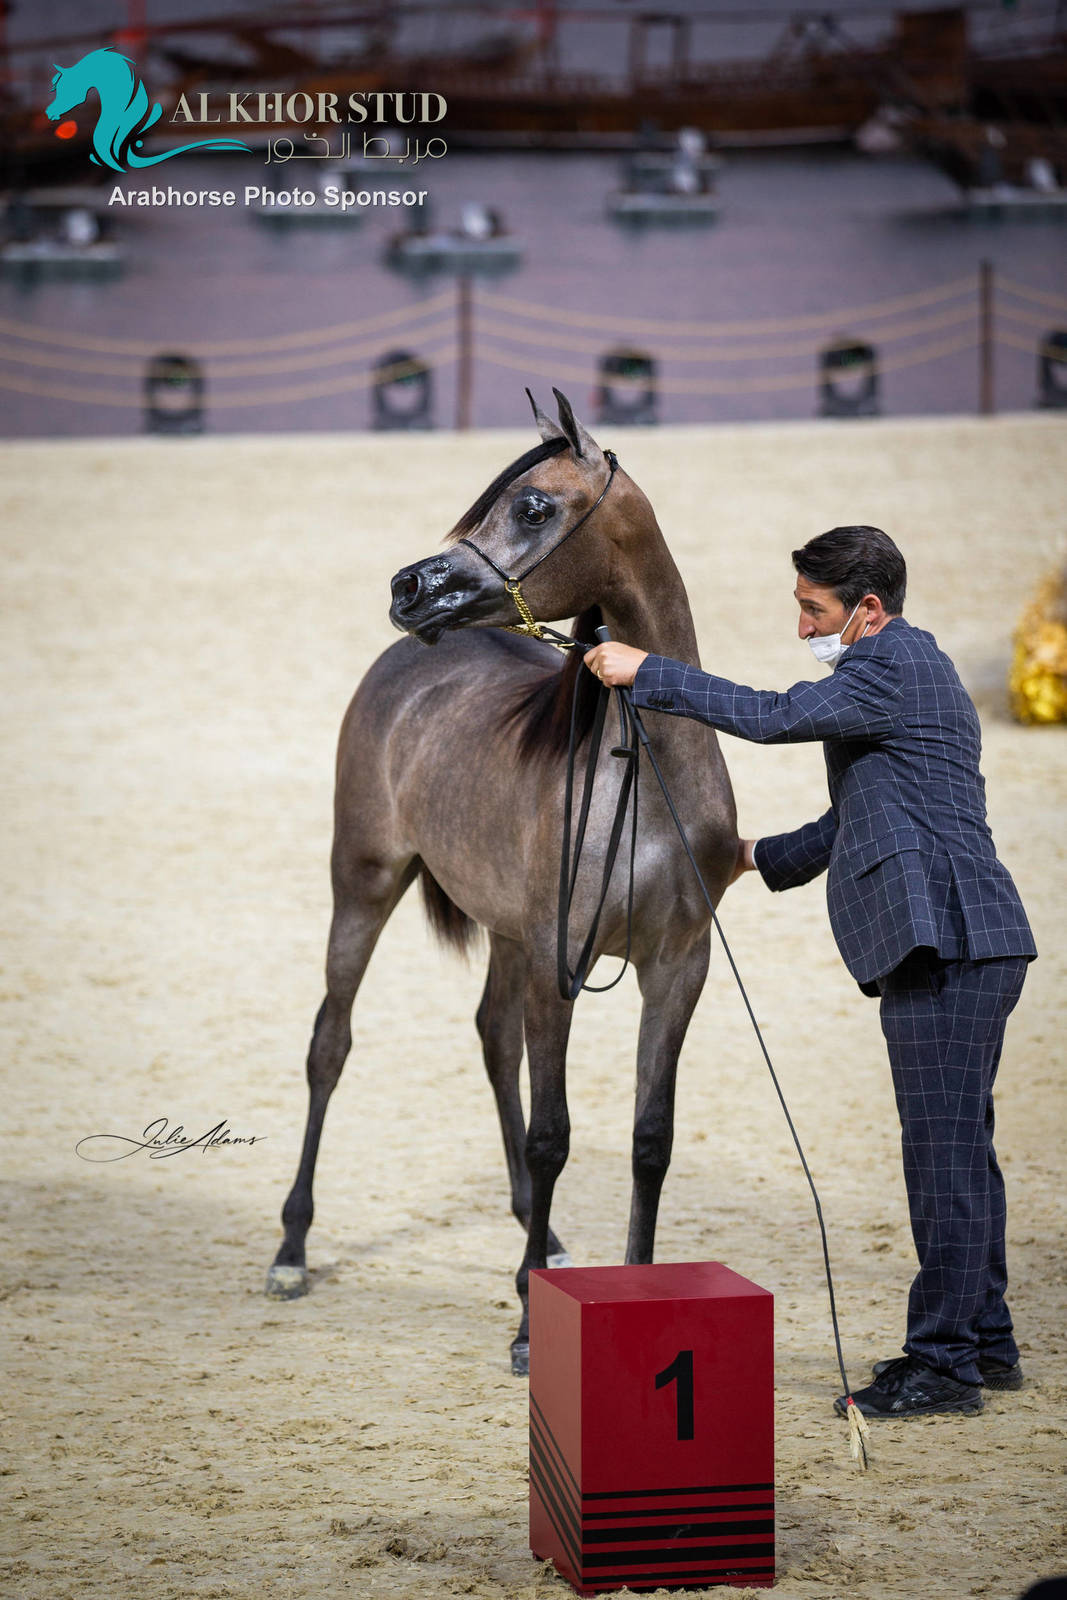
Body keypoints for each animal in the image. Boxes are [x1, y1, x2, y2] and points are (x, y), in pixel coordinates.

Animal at [266, 389, 738, 1373]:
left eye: (532, 507)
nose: (408, 588)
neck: (641, 780)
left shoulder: (677, 967)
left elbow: (649, 1141)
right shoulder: (561, 964)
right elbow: (553, 1134)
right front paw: (529, 1332)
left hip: (507, 935)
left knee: (491, 1039)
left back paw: (539, 1242)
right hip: (362, 884)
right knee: (330, 1044)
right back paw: (290, 1250)